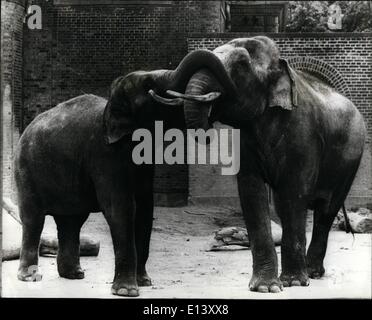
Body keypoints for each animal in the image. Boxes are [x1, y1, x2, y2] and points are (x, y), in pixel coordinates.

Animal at [14, 50, 228, 298]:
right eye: (148, 86)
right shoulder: (105, 155)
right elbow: (121, 208)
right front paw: (127, 291)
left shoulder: (143, 163)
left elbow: (145, 208)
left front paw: (144, 282)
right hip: (26, 170)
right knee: (34, 218)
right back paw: (30, 277)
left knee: (72, 221)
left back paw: (75, 274)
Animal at [156, 36, 366, 294]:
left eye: (241, 64)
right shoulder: (245, 143)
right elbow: (251, 192)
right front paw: (265, 288)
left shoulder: (304, 135)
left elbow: (295, 194)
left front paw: (293, 283)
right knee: (284, 206)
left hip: (350, 160)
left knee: (325, 211)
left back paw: (312, 273)